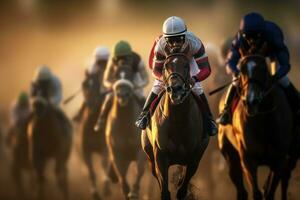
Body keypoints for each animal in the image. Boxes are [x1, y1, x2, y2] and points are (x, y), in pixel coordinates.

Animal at [105, 67, 145, 198]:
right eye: (116, 75)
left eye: (130, 74)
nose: (123, 95)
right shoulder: (117, 153)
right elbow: (121, 174)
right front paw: (126, 191)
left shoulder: (139, 150)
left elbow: (140, 169)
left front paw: (134, 191)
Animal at [142, 53, 209, 200]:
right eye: (165, 66)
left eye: (186, 66)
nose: (175, 89)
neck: (178, 121)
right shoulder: (160, 156)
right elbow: (165, 191)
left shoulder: (194, 157)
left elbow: (182, 190)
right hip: (149, 156)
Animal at [217, 54, 294, 199]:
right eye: (242, 70)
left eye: (263, 68)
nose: (251, 101)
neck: (263, 121)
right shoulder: (248, 159)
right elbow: (256, 192)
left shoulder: (279, 160)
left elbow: (269, 192)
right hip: (230, 157)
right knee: (241, 191)